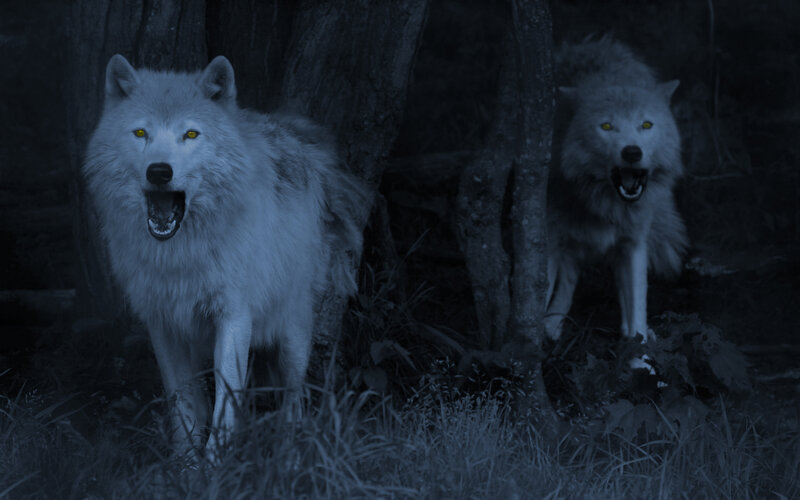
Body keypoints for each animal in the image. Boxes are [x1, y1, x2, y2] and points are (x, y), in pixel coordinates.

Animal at [83, 54, 366, 455]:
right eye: (140, 133)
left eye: (190, 134)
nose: (159, 171)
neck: (181, 253)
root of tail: (291, 132)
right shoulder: (162, 323)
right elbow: (184, 406)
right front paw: (186, 464)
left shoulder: (234, 316)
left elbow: (225, 405)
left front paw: (216, 463)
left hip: (293, 333)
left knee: (293, 399)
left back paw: (288, 452)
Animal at [545, 36, 687, 348]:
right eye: (607, 126)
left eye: (646, 124)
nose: (632, 152)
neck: (603, 205)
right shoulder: (548, 241)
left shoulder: (633, 244)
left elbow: (637, 311)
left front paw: (640, 355)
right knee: (567, 279)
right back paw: (552, 326)